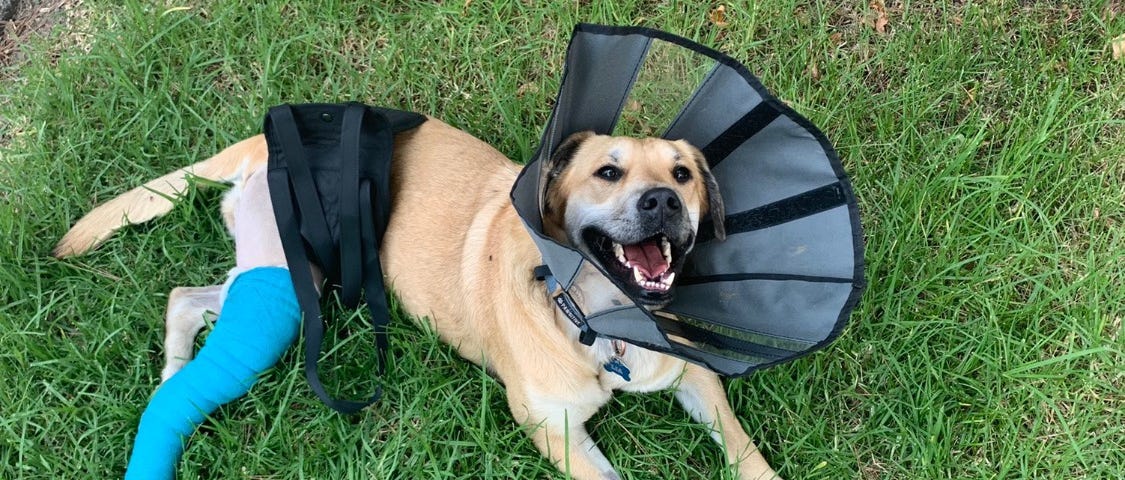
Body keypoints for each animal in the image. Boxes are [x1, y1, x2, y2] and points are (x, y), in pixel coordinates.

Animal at [54, 116, 783, 480]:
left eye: (683, 174)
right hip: (291, 278)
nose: (662, 201)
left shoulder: (693, 376)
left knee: (187, 296)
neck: (597, 322)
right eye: (608, 172)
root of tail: (264, 137)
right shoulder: (556, 431)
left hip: (278, 274)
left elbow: (744, 451)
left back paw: (172, 372)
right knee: (196, 300)